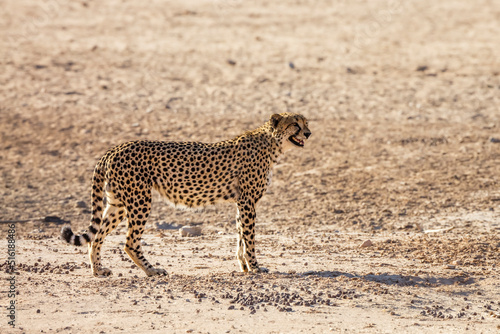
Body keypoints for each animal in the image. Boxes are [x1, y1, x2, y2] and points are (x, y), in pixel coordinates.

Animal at [60, 113, 310, 276]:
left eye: (306, 122)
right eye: (295, 124)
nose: (308, 133)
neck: (272, 144)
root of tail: (115, 148)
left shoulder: (241, 202)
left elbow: (241, 235)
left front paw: (245, 267)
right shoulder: (248, 201)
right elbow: (249, 238)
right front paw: (255, 267)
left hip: (118, 203)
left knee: (97, 236)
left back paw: (98, 270)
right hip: (140, 200)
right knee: (129, 242)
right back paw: (152, 270)